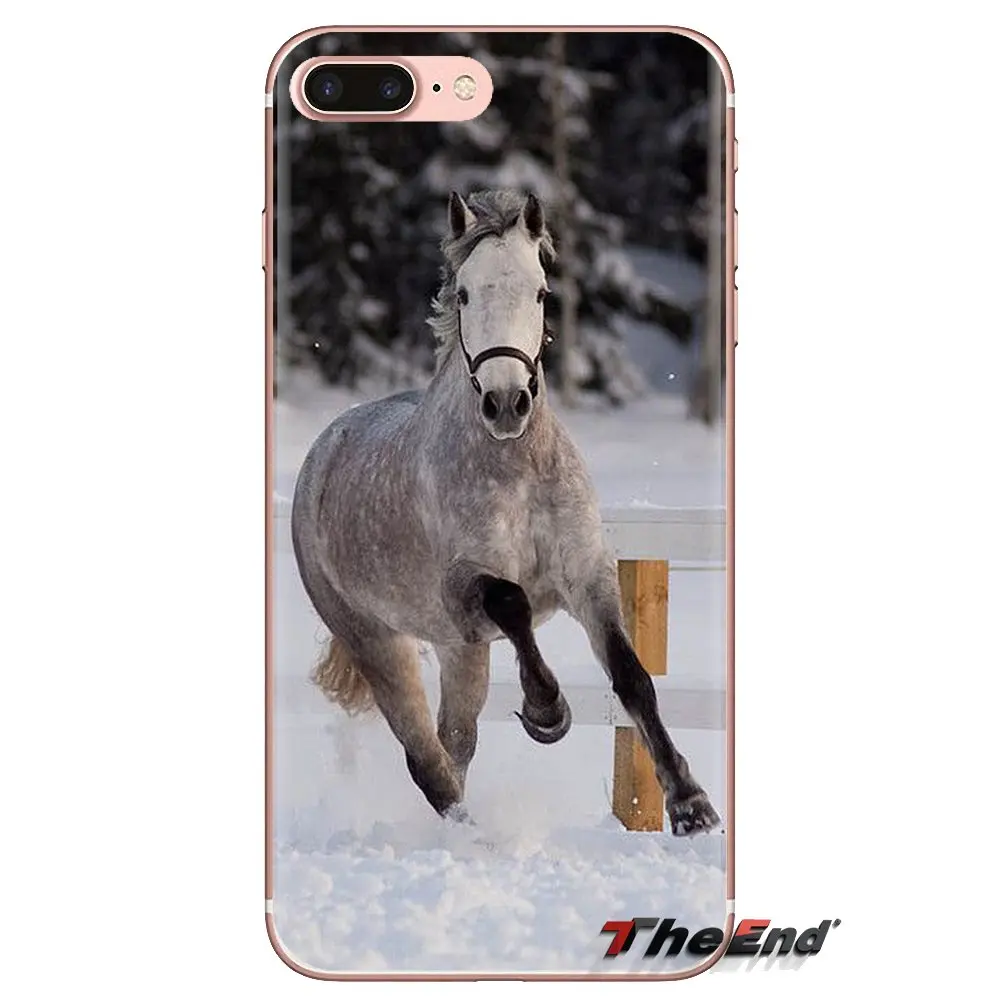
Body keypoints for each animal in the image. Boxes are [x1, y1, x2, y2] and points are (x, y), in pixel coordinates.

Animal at [291, 189, 720, 836]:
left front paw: (692, 805)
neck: (516, 468)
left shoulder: (588, 577)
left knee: (455, 742)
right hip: (376, 640)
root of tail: (324, 446)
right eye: (465, 293)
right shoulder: (464, 588)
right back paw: (477, 840)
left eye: (540, 291)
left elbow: (632, 678)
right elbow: (514, 604)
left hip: (459, 651)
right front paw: (546, 711)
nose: (506, 403)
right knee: (427, 760)